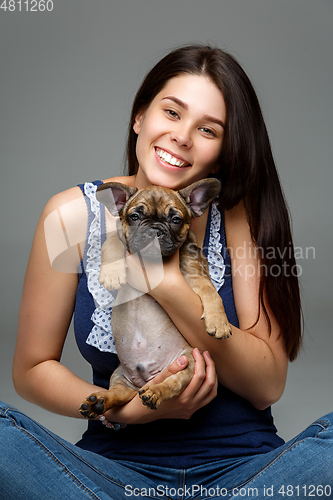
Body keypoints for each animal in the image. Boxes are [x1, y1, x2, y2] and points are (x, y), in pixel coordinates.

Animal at [79, 180, 231, 422]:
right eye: (134, 216)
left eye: (175, 220)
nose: (154, 230)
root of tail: (146, 378)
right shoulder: (121, 239)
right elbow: (112, 241)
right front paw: (112, 273)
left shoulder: (195, 276)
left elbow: (211, 293)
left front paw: (219, 322)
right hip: (120, 374)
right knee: (121, 394)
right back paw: (99, 402)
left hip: (189, 363)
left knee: (172, 384)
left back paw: (155, 392)